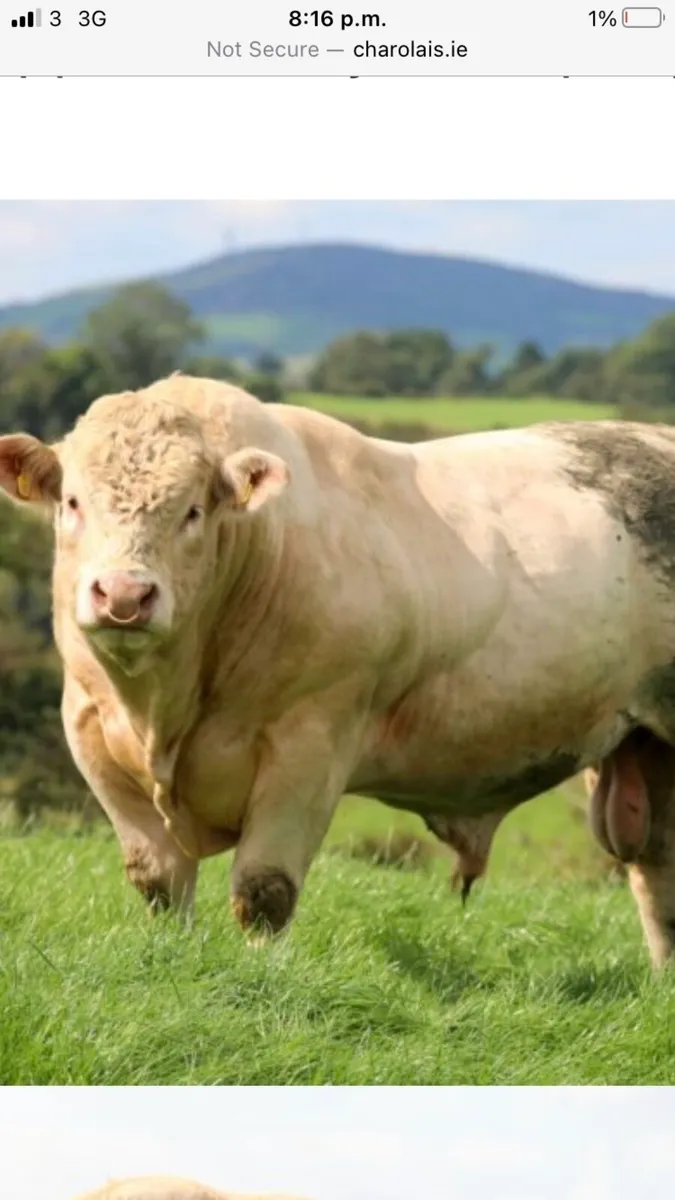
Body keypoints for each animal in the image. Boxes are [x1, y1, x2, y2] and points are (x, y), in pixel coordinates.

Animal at [3, 374, 675, 967]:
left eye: (192, 511)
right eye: (71, 503)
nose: (123, 594)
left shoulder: (310, 744)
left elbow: (265, 889)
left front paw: (262, 978)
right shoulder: (90, 731)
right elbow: (160, 882)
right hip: (642, 749)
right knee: (657, 871)